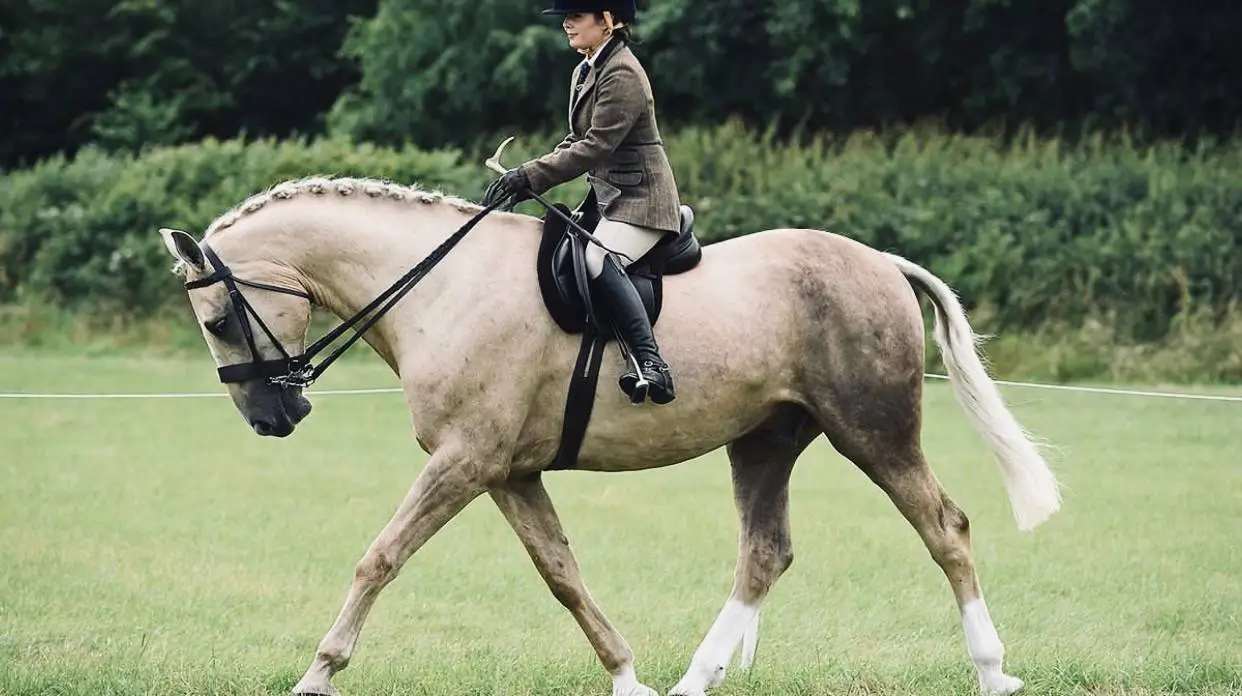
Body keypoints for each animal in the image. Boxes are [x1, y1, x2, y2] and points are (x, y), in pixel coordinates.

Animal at [157, 172, 1058, 696]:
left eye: (217, 319)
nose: (272, 418)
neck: (441, 287)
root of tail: (878, 261)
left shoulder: (464, 462)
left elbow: (380, 557)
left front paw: (318, 675)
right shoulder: (506, 472)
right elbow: (562, 573)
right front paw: (628, 678)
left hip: (873, 433)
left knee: (946, 529)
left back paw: (992, 672)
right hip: (765, 442)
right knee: (765, 553)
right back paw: (694, 680)